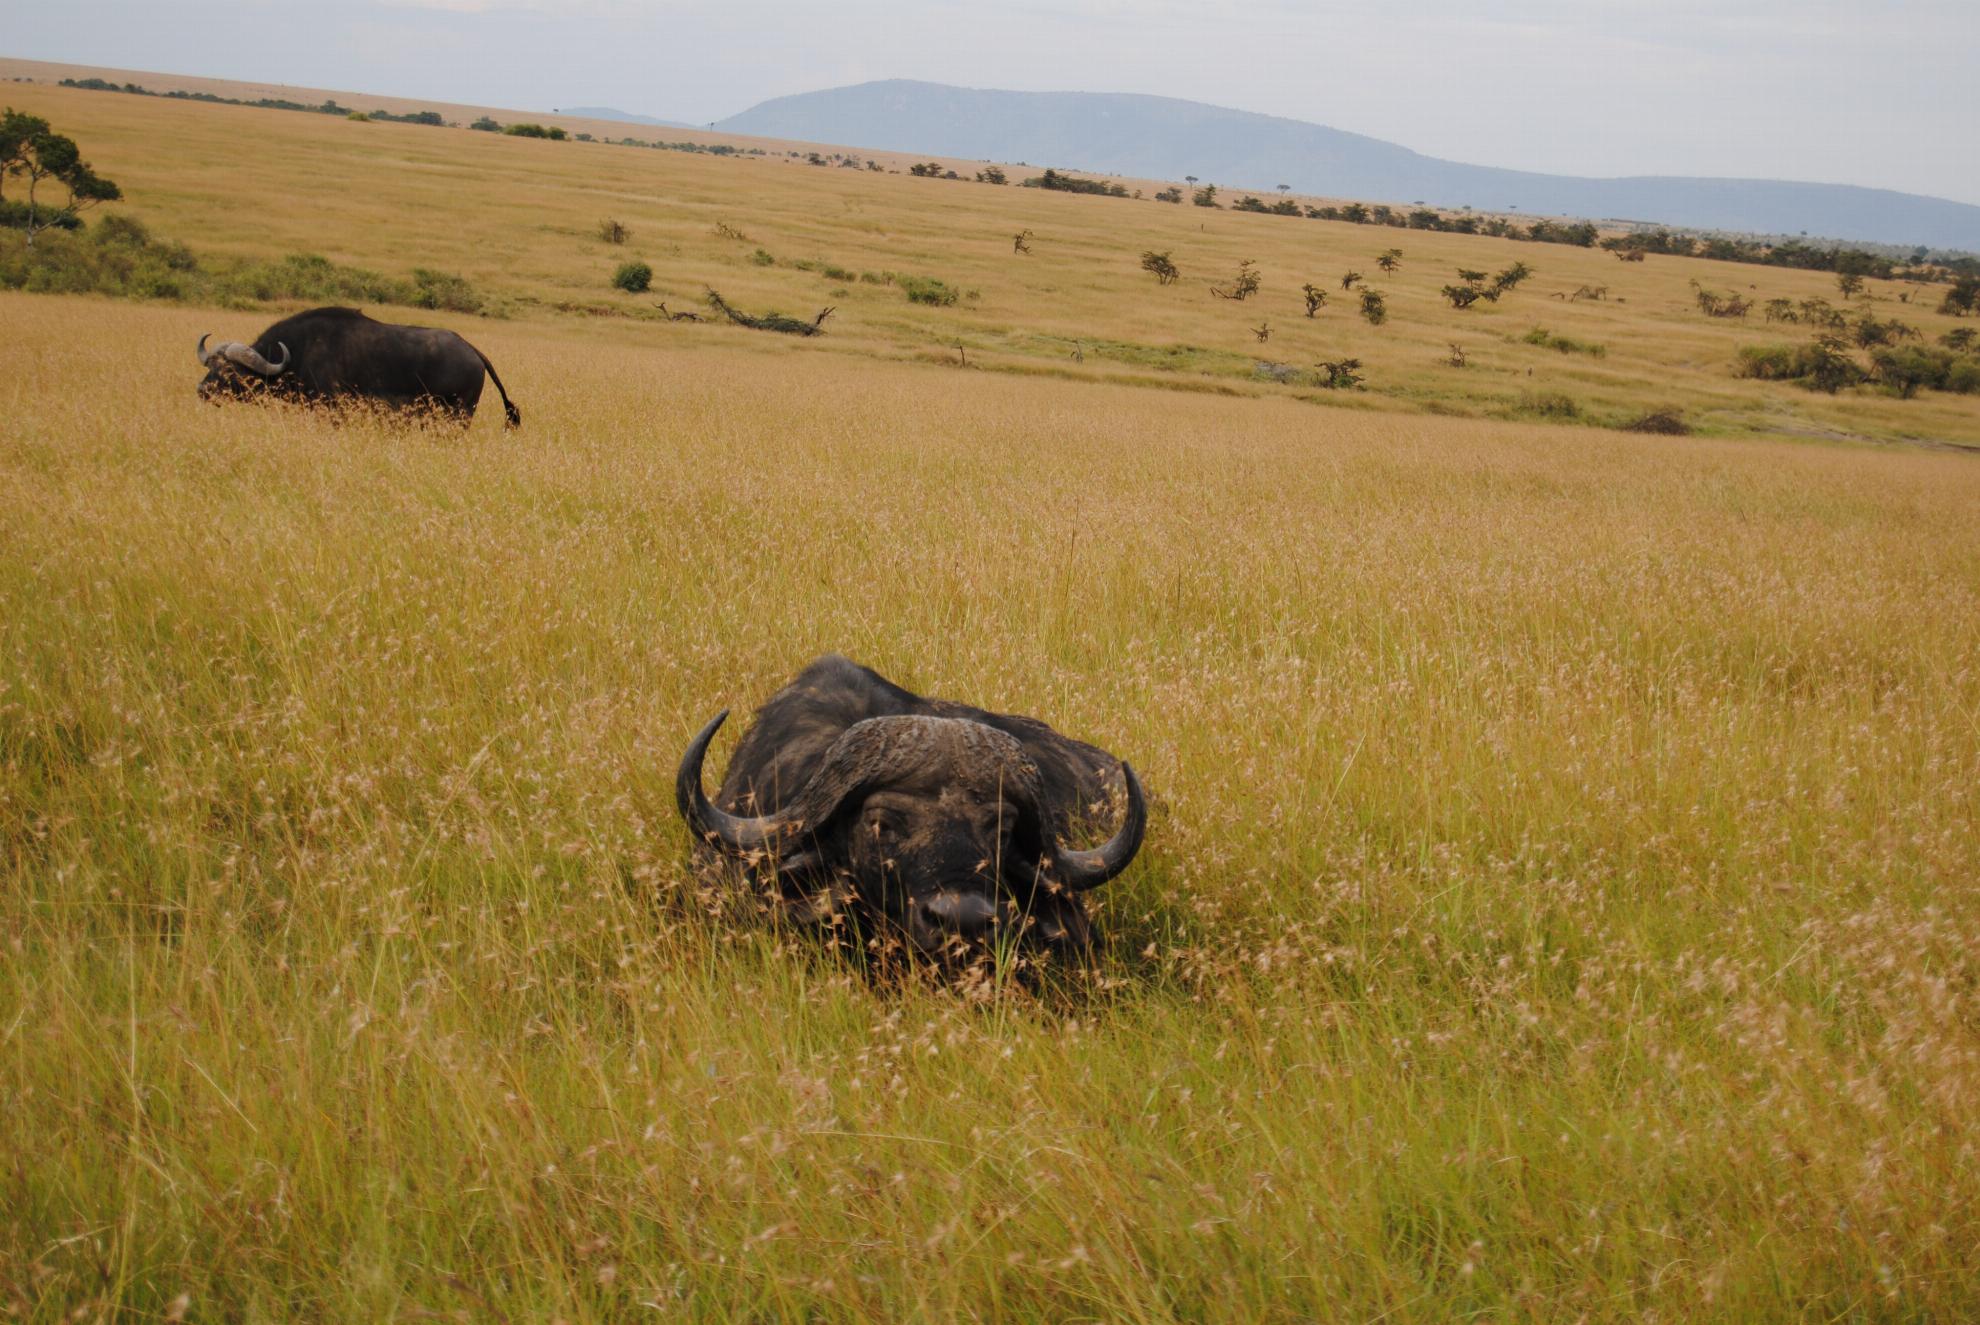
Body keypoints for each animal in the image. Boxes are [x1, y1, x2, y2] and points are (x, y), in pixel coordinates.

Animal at [196, 306, 521, 426]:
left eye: (231, 371)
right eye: (211, 366)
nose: (202, 390)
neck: (299, 353)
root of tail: (472, 350)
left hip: (458, 415)